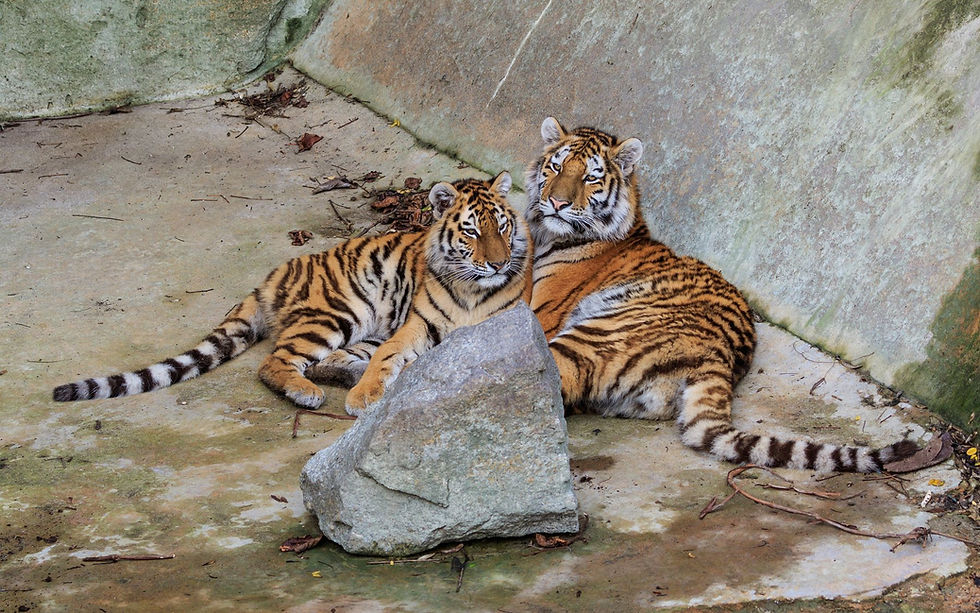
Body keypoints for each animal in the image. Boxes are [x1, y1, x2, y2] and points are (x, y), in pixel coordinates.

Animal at [53, 172, 530, 414]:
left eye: (503, 226)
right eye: (471, 231)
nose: (498, 263)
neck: (473, 288)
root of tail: (272, 275)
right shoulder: (417, 325)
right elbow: (388, 355)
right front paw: (365, 397)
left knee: (329, 359)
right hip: (338, 312)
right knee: (276, 361)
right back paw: (309, 392)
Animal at [524, 117, 917, 473]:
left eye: (590, 177)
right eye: (556, 166)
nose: (556, 203)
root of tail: (717, 356)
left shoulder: (539, 313)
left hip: (588, 339)